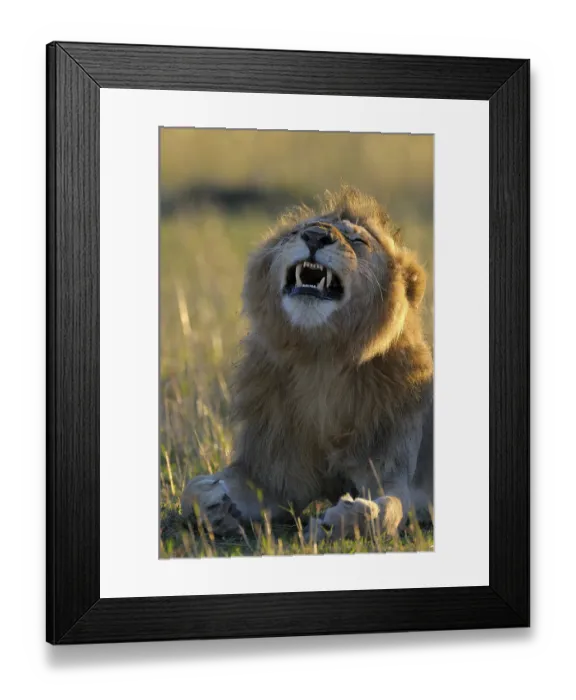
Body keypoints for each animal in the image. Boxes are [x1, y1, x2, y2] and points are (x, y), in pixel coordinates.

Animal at [180, 186, 434, 541]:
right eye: (298, 231)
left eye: (358, 240)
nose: (315, 236)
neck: (320, 358)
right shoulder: (272, 472)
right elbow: (189, 490)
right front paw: (215, 503)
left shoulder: (392, 472)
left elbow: (388, 511)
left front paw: (340, 521)